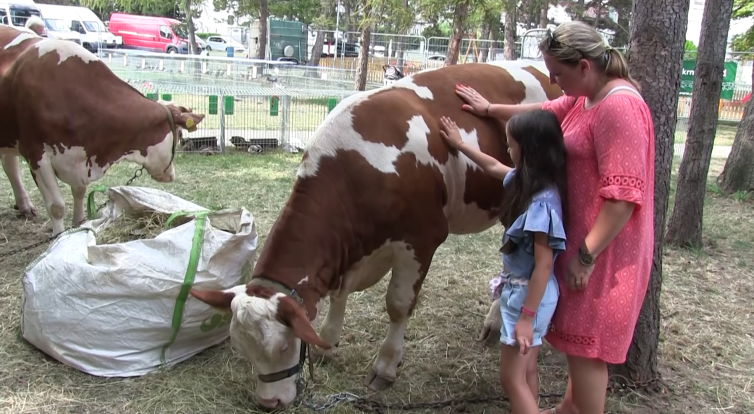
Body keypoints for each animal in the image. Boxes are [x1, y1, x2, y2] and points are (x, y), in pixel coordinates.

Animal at [0, 26, 206, 236]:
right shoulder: (36, 156)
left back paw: (24, 206)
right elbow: (56, 207)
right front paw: (59, 237)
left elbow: (79, 192)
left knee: (9, 165)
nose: (171, 175)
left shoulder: (79, 156)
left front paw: (79, 224)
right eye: (179, 135)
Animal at [189, 59, 560, 410]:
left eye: (283, 346)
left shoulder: (422, 238)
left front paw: (385, 366)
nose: (269, 404)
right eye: (241, 348)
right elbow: (340, 294)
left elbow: (397, 305)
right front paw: (327, 343)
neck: (356, 168)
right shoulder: (352, 248)